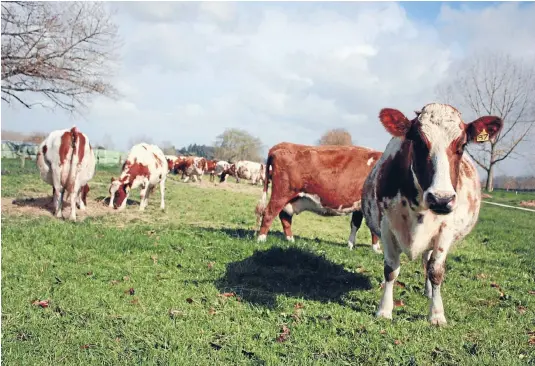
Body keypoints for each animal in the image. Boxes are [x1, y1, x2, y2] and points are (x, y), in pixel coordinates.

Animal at [254, 142, 384, 250]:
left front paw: (351, 245)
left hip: (291, 199)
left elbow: (355, 224)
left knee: (284, 217)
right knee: (269, 213)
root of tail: (283, 144)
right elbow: (373, 228)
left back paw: (290, 240)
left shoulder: (359, 207)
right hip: (281, 194)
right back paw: (261, 239)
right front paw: (376, 249)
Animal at [362, 101, 504, 324]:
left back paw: (429, 293)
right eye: (419, 143)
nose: (441, 199)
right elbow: (391, 269)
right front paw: (384, 309)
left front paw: (436, 314)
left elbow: (435, 271)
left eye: (462, 145)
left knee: (427, 262)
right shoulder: (386, 225)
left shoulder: (446, 230)